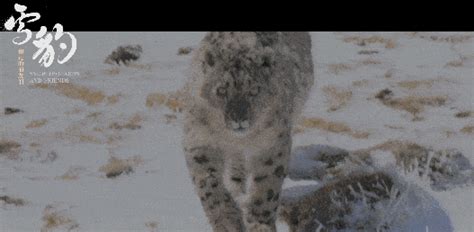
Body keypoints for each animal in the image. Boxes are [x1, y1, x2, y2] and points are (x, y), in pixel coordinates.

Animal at [181, 31, 314, 231]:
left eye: (254, 90)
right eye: (221, 90)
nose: (238, 118)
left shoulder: (271, 143)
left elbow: (265, 189)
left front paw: (260, 224)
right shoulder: (199, 138)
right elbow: (209, 184)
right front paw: (228, 221)